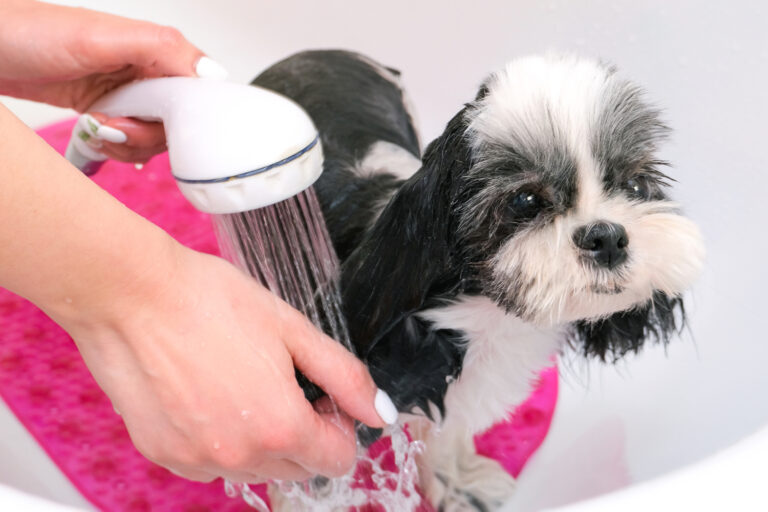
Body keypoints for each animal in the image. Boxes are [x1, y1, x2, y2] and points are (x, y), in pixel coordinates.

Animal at [252, 49, 704, 512]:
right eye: (525, 200)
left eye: (635, 184)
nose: (607, 237)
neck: (485, 316)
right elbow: (311, 481)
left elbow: (445, 432)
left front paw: (455, 482)